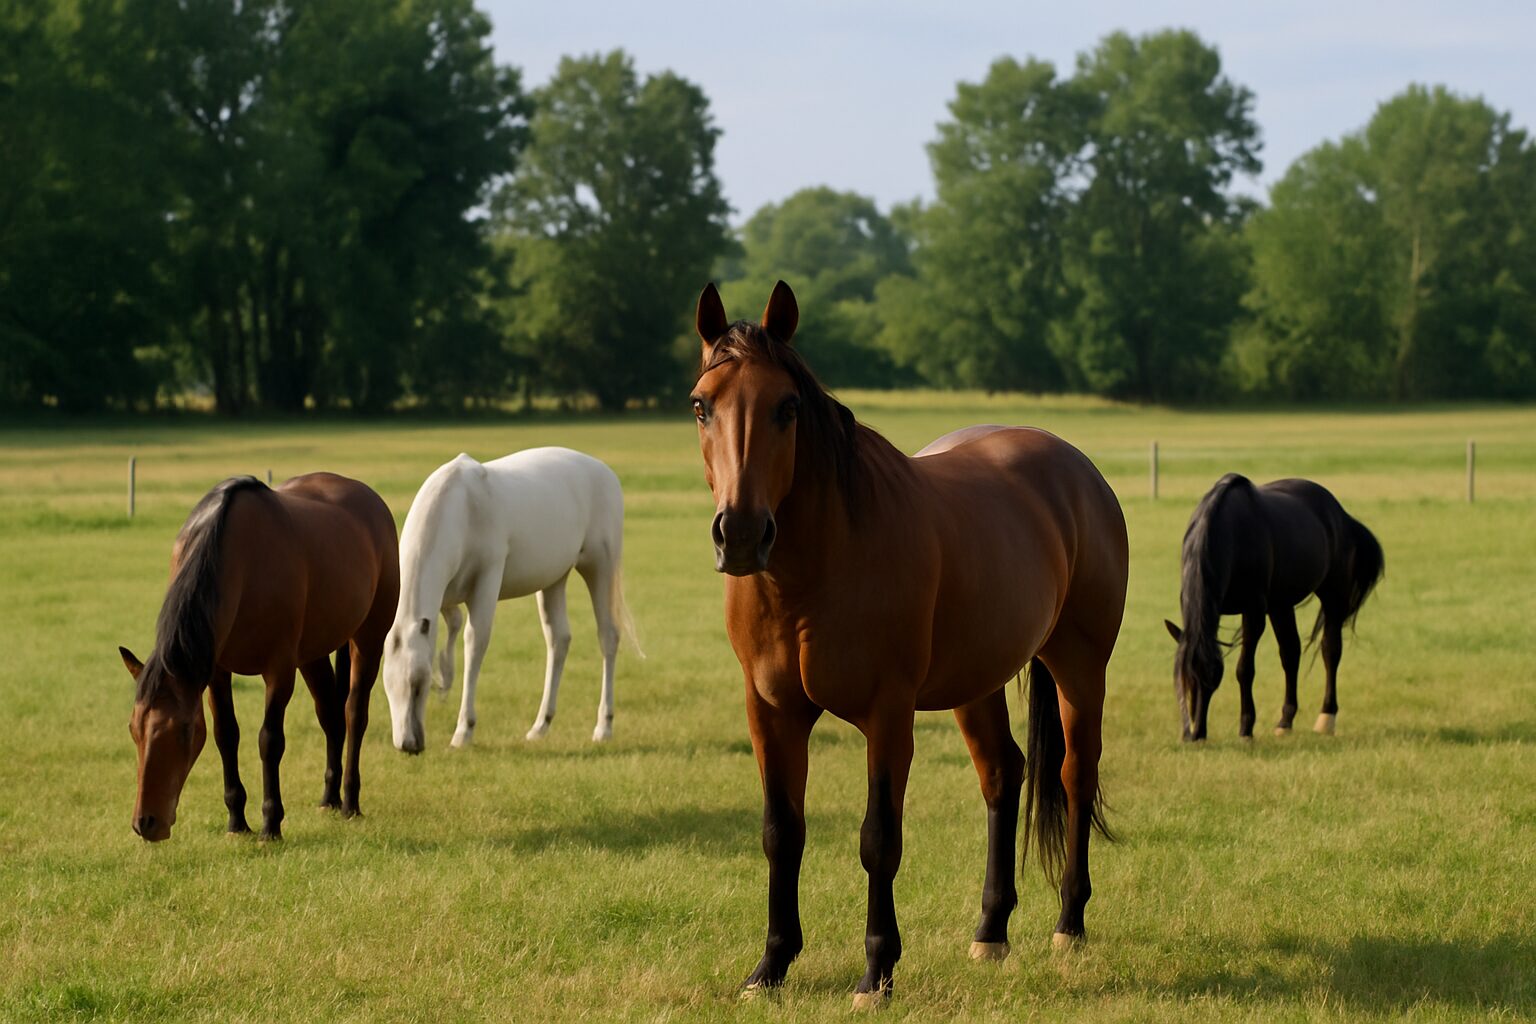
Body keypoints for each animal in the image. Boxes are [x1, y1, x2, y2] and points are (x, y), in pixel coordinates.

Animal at [119, 473, 399, 842]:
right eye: (133, 728)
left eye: (183, 730)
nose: (146, 823)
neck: (237, 559)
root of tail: (371, 500)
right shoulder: (216, 671)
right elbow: (226, 735)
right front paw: (237, 821)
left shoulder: (279, 670)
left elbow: (270, 741)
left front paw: (270, 823)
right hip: (313, 654)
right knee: (331, 716)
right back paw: (330, 799)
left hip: (368, 639)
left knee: (354, 713)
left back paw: (350, 801)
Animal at [380, 449, 637, 753]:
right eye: (387, 687)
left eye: (417, 685)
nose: (407, 744)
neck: (462, 509)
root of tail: (605, 471)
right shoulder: (443, 596)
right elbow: (452, 625)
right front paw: (444, 677)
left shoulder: (488, 579)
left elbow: (474, 641)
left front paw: (464, 730)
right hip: (554, 578)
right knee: (559, 639)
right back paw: (541, 725)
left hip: (600, 566)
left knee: (608, 636)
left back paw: (603, 726)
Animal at [690, 281, 1128, 1009]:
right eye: (701, 405)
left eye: (787, 407)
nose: (743, 534)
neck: (817, 571)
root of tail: (1074, 466)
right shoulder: (770, 712)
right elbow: (782, 832)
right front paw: (770, 966)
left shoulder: (888, 714)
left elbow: (878, 839)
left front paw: (877, 972)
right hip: (976, 681)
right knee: (1004, 774)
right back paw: (991, 931)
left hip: (1079, 664)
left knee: (1073, 773)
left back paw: (1069, 923)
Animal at [1163, 474, 1384, 742]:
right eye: (1182, 679)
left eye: (1214, 677)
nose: (1195, 735)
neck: (1230, 532)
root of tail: (1341, 514)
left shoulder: (1254, 611)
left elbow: (1244, 670)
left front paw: (1246, 729)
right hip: (1281, 604)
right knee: (1290, 654)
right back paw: (1285, 722)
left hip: (1332, 595)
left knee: (1330, 651)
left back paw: (1326, 719)